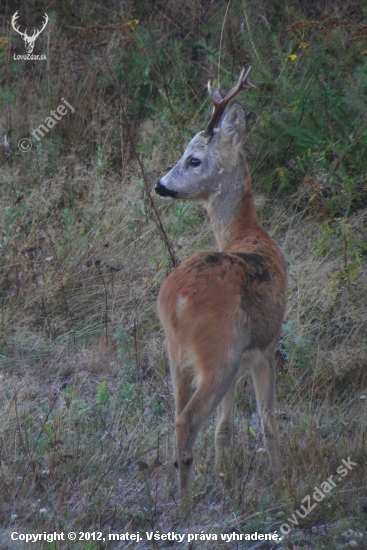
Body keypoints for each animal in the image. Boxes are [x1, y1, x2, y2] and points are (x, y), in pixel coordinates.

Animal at [155, 67, 288, 494]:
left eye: (194, 159)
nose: (160, 185)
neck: (248, 233)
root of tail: (176, 299)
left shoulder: (244, 356)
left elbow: (225, 427)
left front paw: (223, 475)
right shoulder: (264, 347)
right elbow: (268, 424)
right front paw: (282, 484)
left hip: (177, 354)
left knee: (178, 415)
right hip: (220, 352)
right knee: (187, 420)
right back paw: (186, 503)